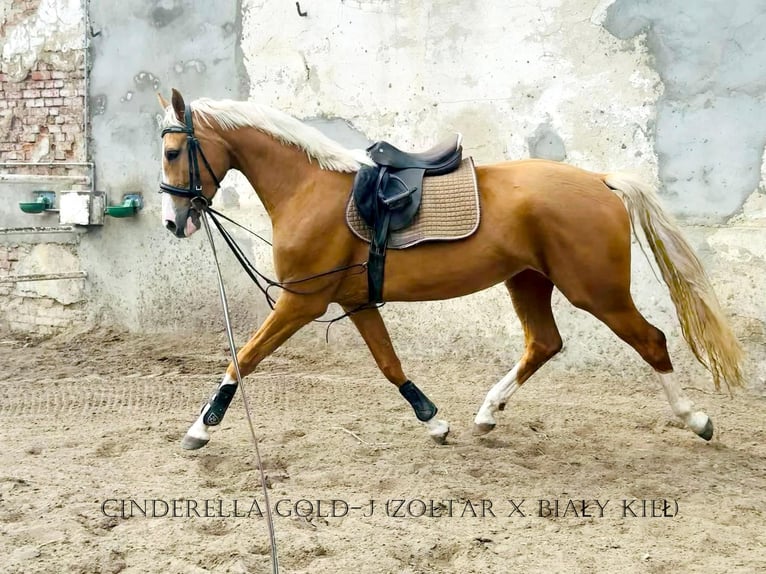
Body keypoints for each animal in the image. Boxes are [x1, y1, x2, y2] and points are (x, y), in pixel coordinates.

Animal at [156, 88, 744, 452]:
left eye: (172, 151)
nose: (172, 222)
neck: (310, 188)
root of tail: (600, 180)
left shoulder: (301, 302)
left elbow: (243, 359)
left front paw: (200, 429)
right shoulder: (354, 300)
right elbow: (389, 364)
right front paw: (434, 420)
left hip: (595, 291)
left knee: (651, 341)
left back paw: (696, 419)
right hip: (528, 281)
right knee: (544, 344)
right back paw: (486, 413)